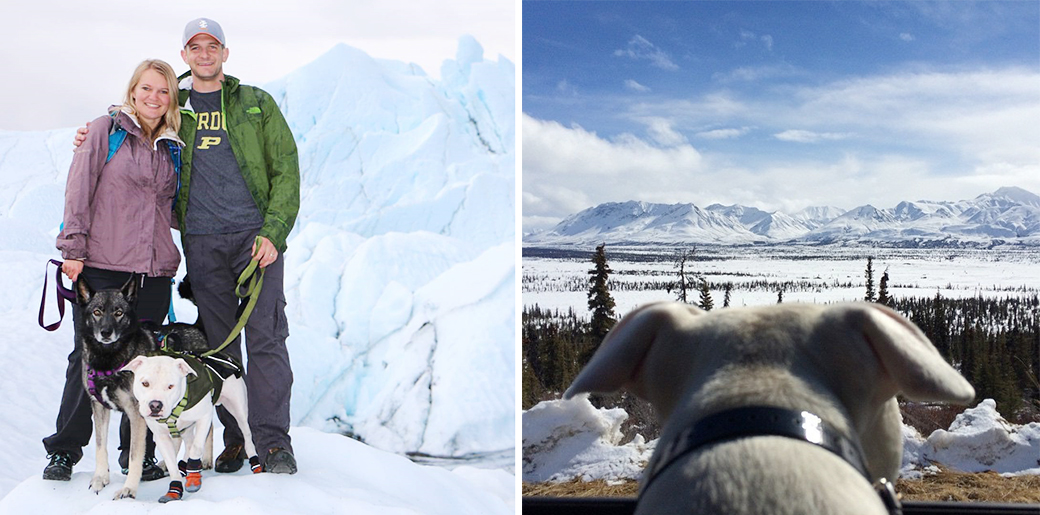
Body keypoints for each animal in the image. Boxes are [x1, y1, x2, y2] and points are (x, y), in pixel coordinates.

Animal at [123, 353, 260, 501]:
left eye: (171, 386)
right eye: (145, 383)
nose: (155, 405)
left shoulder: (204, 417)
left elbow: (196, 448)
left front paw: (193, 477)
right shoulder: (161, 436)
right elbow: (172, 464)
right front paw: (174, 490)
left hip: (238, 409)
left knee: (246, 435)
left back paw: (255, 463)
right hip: (186, 428)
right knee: (188, 443)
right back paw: (183, 466)